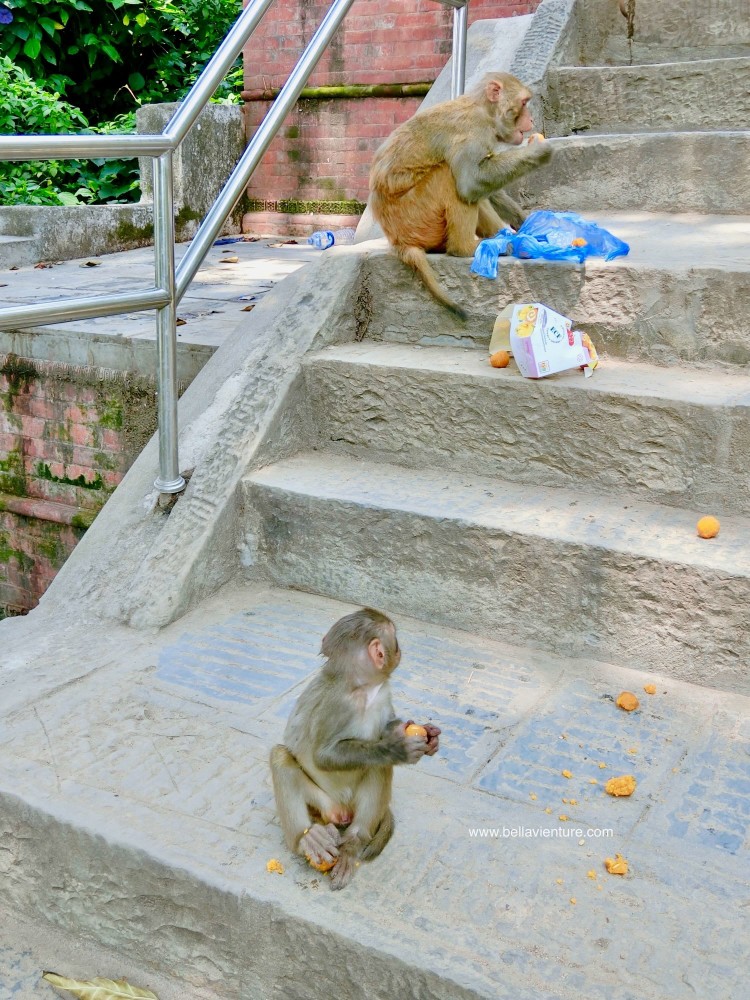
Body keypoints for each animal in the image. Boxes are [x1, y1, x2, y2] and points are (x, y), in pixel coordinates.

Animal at [270, 608, 440, 890]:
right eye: (395, 641)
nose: (401, 650)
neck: (363, 688)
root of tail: (341, 812)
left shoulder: (382, 694)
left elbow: (387, 726)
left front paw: (426, 734)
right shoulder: (338, 704)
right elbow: (323, 756)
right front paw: (397, 748)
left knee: (378, 768)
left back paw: (354, 841)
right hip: (323, 802)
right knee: (280, 757)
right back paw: (307, 838)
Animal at [369, 71, 553, 319]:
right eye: (524, 103)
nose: (531, 120)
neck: (485, 112)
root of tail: (398, 241)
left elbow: (484, 185)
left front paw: (524, 221)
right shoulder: (473, 132)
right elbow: (470, 182)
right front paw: (538, 151)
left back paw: (503, 237)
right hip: (415, 218)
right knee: (449, 176)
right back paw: (465, 247)